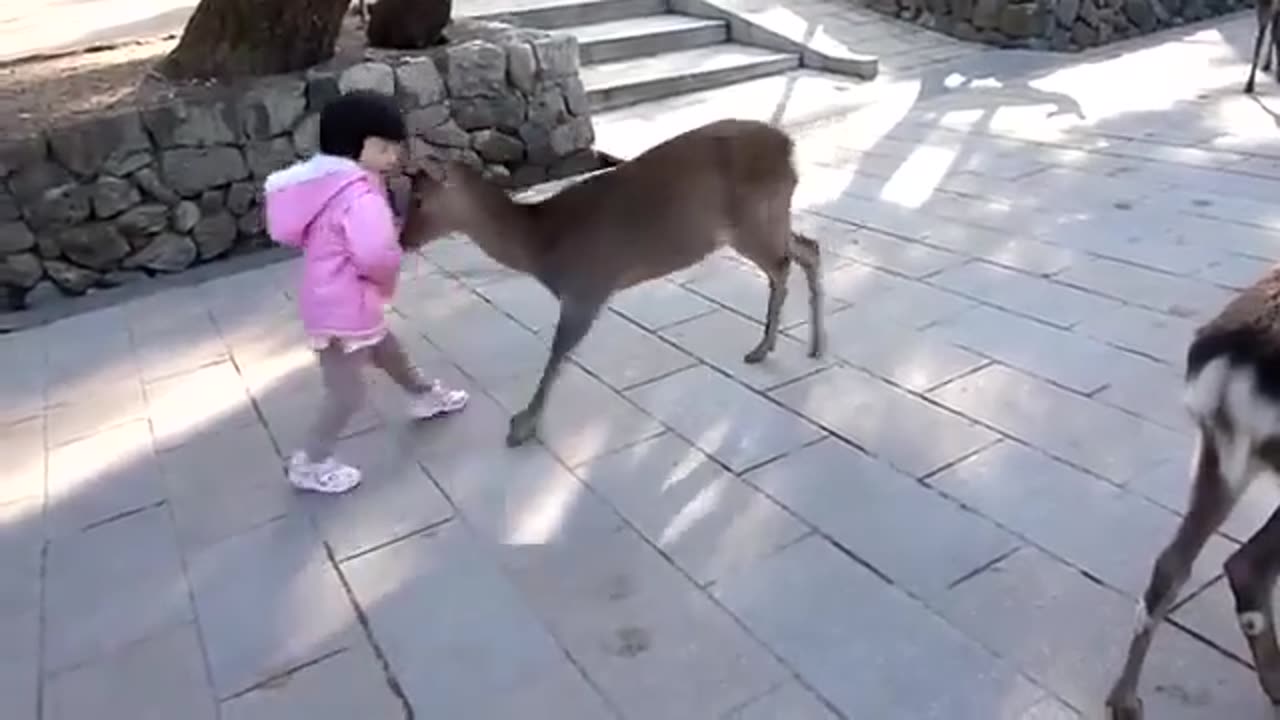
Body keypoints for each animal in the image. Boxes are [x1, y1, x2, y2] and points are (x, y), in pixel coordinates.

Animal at [396, 119, 829, 443]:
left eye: (418, 198)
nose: (402, 240)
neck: (542, 244)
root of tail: (790, 147)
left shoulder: (588, 286)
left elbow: (557, 353)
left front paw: (523, 425)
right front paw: (525, 422)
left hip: (753, 219)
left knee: (784, 265)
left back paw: (774, 346)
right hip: (769, 218)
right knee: (808, 249)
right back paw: (804, 346)